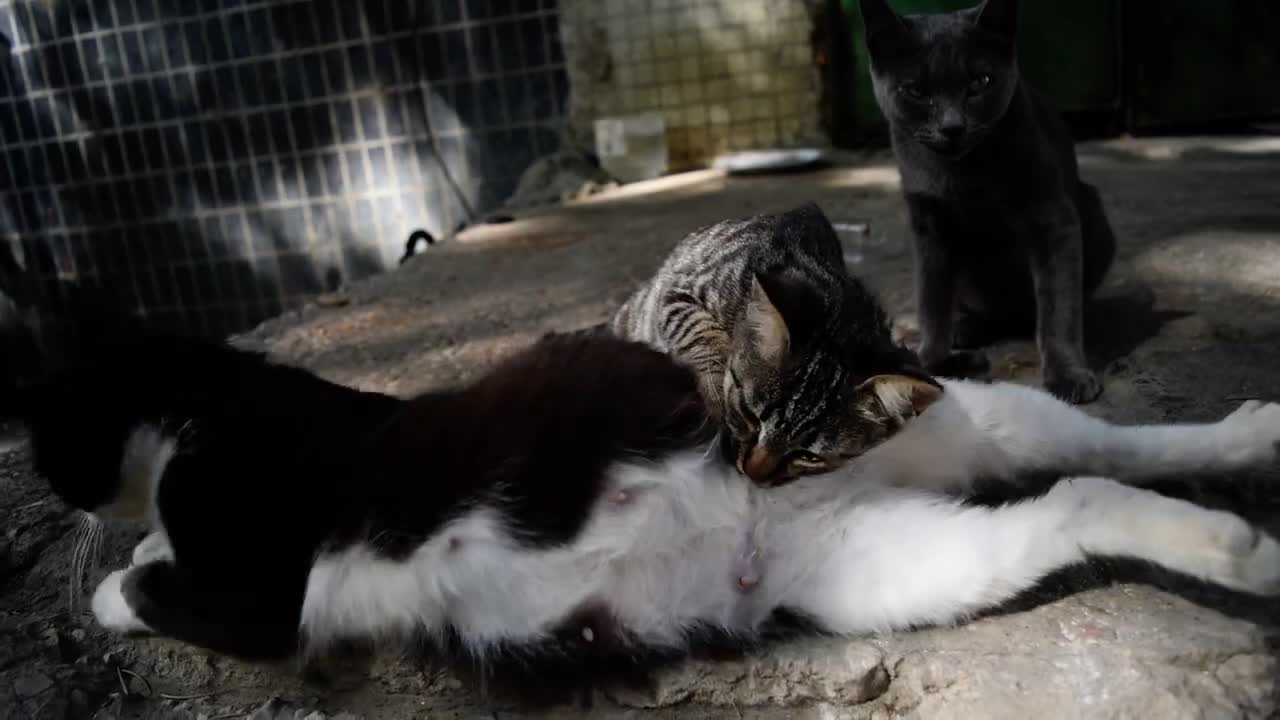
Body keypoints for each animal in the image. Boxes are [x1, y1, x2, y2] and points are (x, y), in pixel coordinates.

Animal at [10, 322, 1280, 696]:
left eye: (44, 430)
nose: (50, 492)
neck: (211, 398)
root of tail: (777, 473)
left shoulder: (259, 585)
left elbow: (161, 582)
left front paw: (111, 582)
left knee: (1082, 466)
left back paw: (1237, 525)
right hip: (898, 556)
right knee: (1080, 475)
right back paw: (1241, 496)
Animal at [609, 199, 931, 486]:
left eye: (809, 456)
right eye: (749, 414)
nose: (754, 474)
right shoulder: (677, 294)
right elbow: (701, 335)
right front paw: (716, 396)